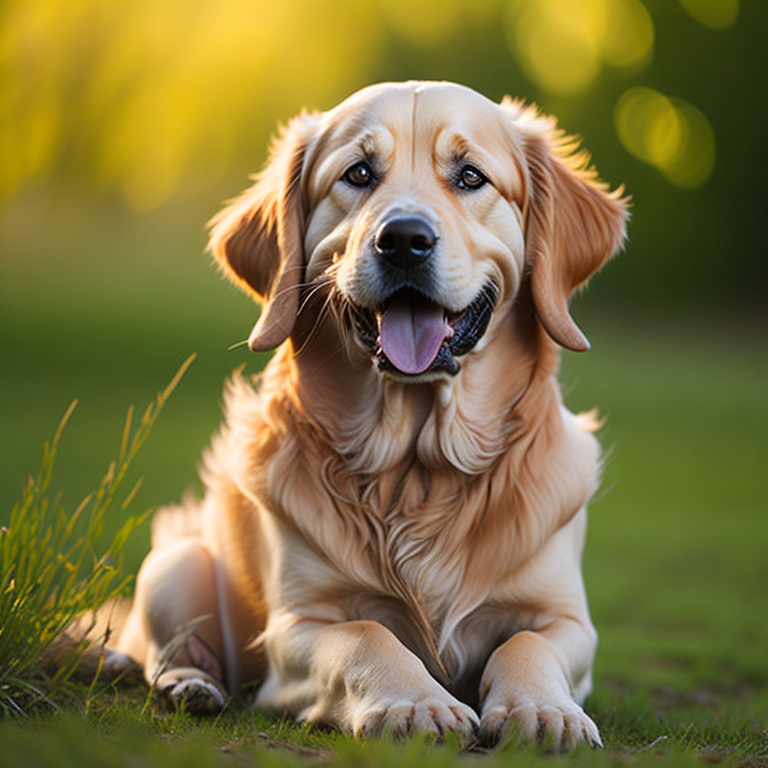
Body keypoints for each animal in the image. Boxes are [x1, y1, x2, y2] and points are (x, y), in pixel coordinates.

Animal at [105, 81, 628, 748]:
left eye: (470, 176)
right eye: (357, 174)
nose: (403, 240)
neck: (416, 471)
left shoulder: (567, 618)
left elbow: (529, 643)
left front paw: (542, 710)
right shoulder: (298, 625)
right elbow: (365, 635)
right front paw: (416, 703)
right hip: (175, 562)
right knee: (166, 651)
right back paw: (190, 686)